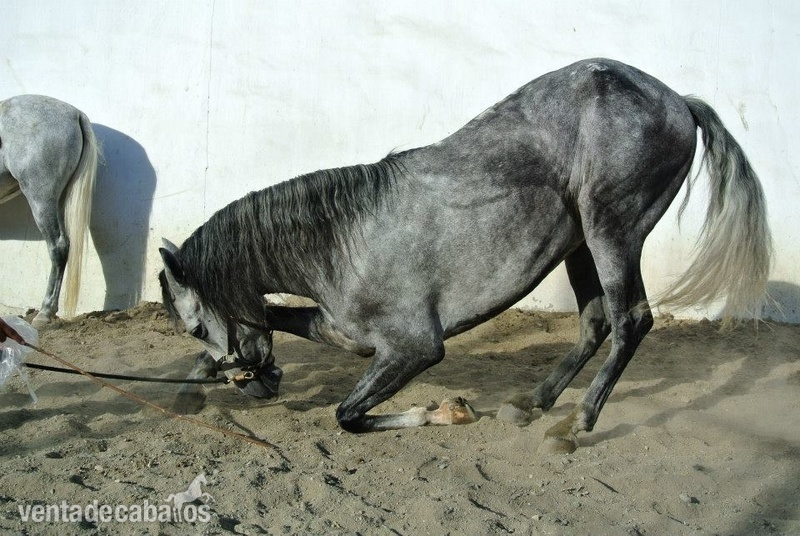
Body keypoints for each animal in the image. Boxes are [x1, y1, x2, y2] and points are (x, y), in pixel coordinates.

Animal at [159, 58, 771, 453]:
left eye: (195, 326)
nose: (257, 384)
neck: (343, 241)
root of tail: (678, 101)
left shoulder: (413, 348)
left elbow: (347, 415)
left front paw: (446, 411)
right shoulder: (346, 335)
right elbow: (279, 318)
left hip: (611, 232)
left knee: (631, 321)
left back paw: (575, 425)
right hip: (579, 244)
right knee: (596, 322)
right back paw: (532, 404)